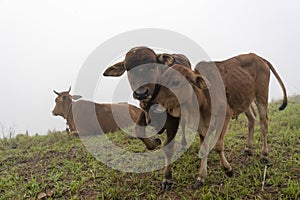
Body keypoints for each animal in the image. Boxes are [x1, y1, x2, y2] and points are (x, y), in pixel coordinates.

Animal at [154, 52, 288, 188]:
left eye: (176, 81)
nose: (154, 104)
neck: (203, 98)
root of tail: (260, 58)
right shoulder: (202, 126)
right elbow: (204, 149)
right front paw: (201, 177)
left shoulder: (225, 115)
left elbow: (218, 145)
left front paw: (228, 169)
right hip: (244, 101)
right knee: (252, 119)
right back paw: (248, 148)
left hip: (261, 97)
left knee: (263, 124)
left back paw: (264, 154)